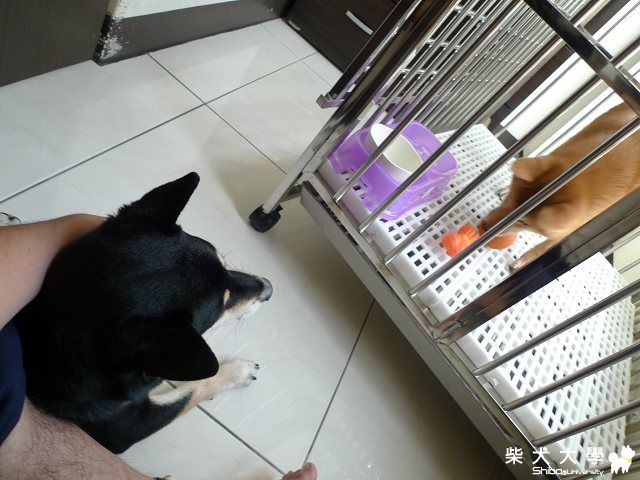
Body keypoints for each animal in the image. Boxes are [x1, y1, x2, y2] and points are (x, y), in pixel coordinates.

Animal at [480, 102, 640, 269]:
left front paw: (522, 261)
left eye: (524, 222)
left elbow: (544, 247)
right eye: (510, 198)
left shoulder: (571, 229)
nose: (484, 227)